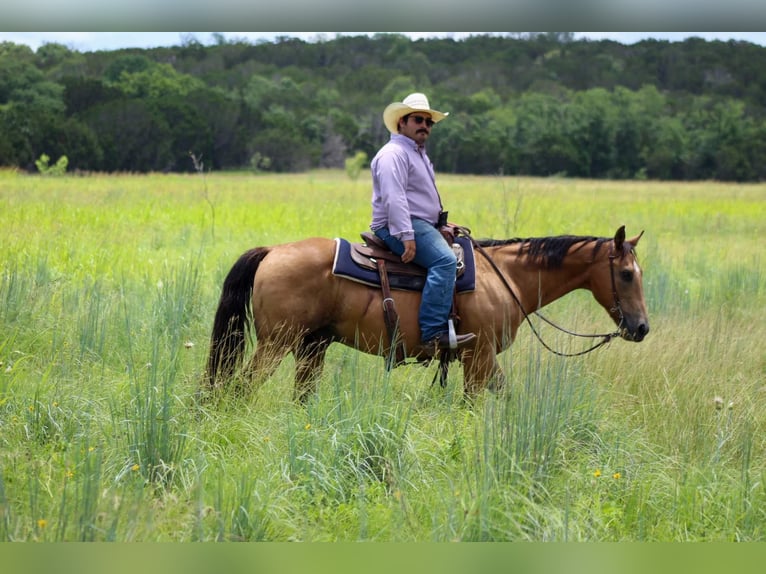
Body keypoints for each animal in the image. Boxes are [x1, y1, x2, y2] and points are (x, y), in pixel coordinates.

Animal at [204, 225, 649, 401]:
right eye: (627, 274)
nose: (641, 328)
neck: (504, 276)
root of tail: (272, 252)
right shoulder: (478, 356)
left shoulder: (482, 360)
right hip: (275, 344)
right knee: (239, 389)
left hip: (312, 348)